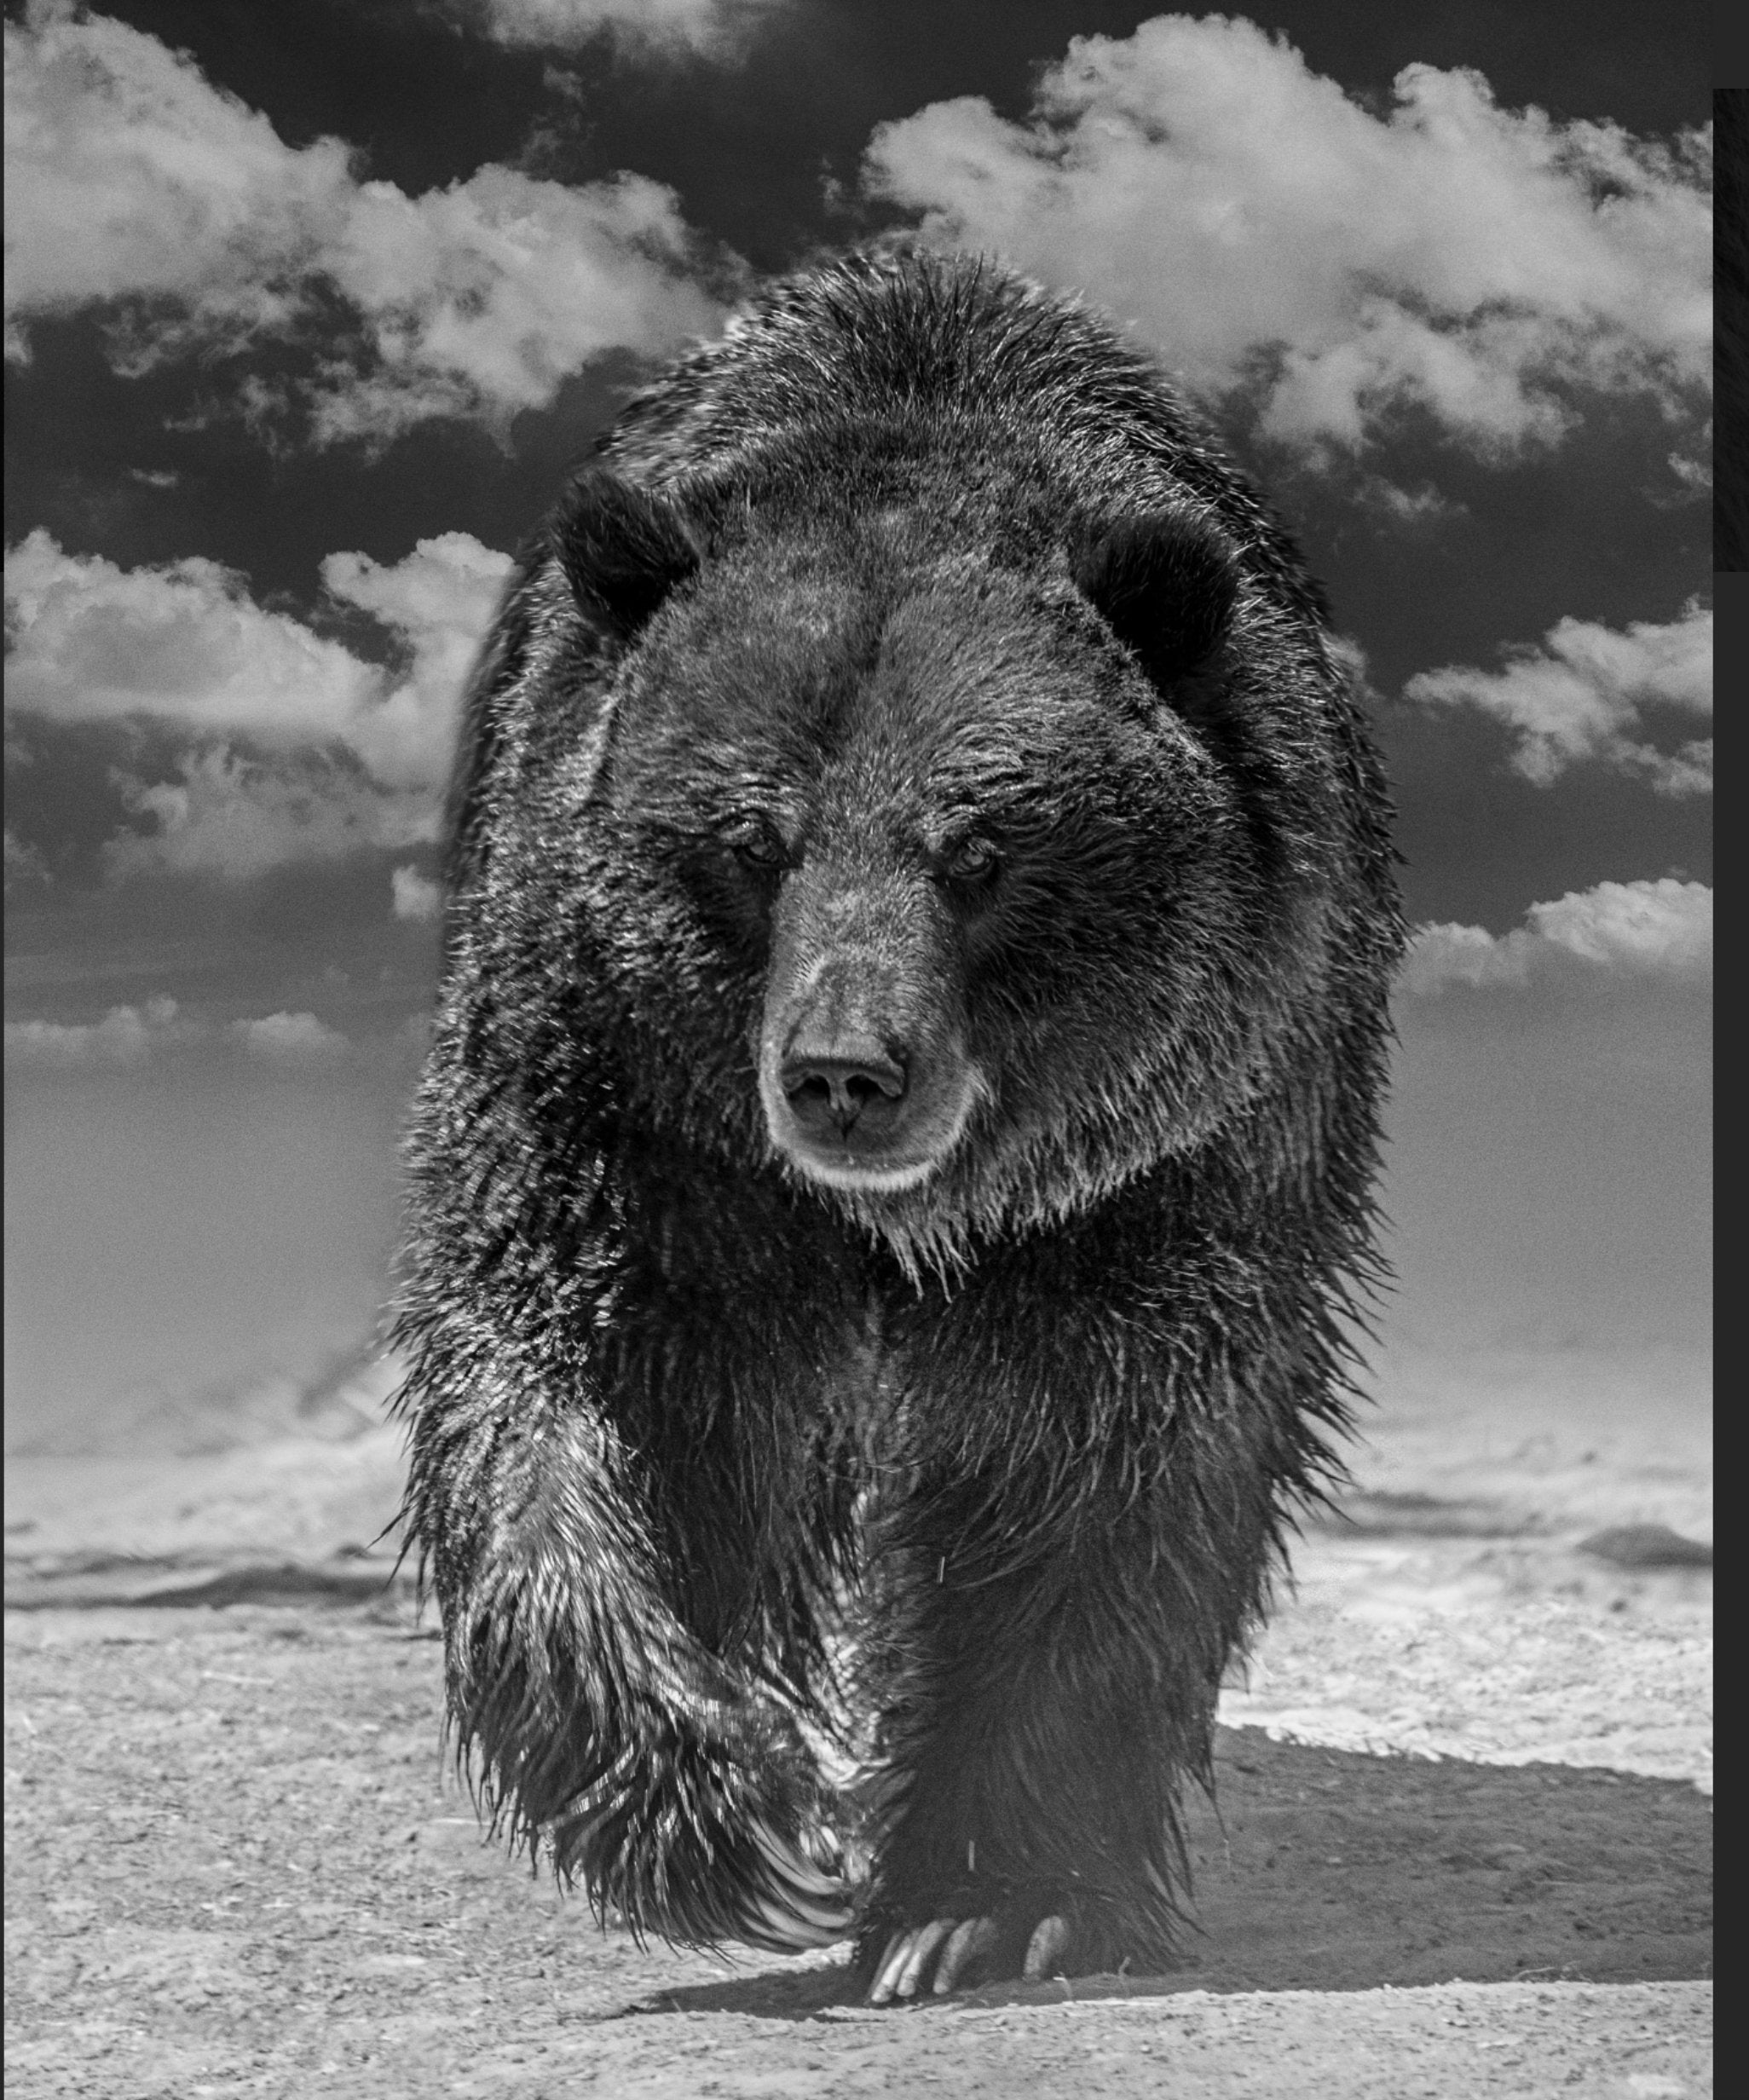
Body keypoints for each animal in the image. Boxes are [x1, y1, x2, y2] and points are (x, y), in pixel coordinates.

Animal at [393, 247, 1404, 2001]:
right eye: (753, 839)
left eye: (982, 847)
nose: (844, 1070)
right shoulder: (633, 1116)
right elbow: (575, 1381)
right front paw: (730, 1813)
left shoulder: (1170, 1165)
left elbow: (1103, 1469)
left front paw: (987, 1895)